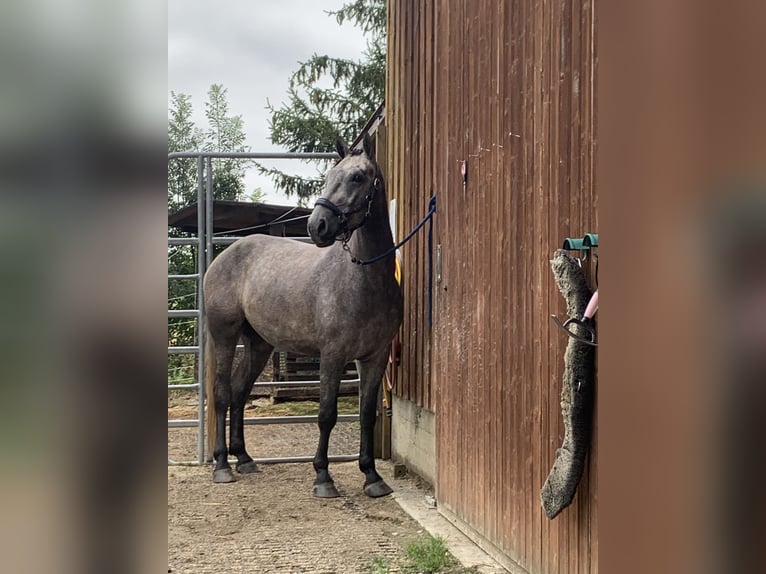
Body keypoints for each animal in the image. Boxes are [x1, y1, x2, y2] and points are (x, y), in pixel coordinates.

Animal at [204, 135, 408, 500]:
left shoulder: (374, 357)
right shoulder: (333, 355)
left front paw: (371, 476)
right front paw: (323, 477)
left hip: (259, 344)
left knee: (240, 391)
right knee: (223, 393)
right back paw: (222, 466)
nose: (317, 226)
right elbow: (326, 414)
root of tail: (225, 255)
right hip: (225, 336)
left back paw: (244, 459)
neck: (363, 279)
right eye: (329, 176)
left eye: (358, 177)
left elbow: (366, 415)